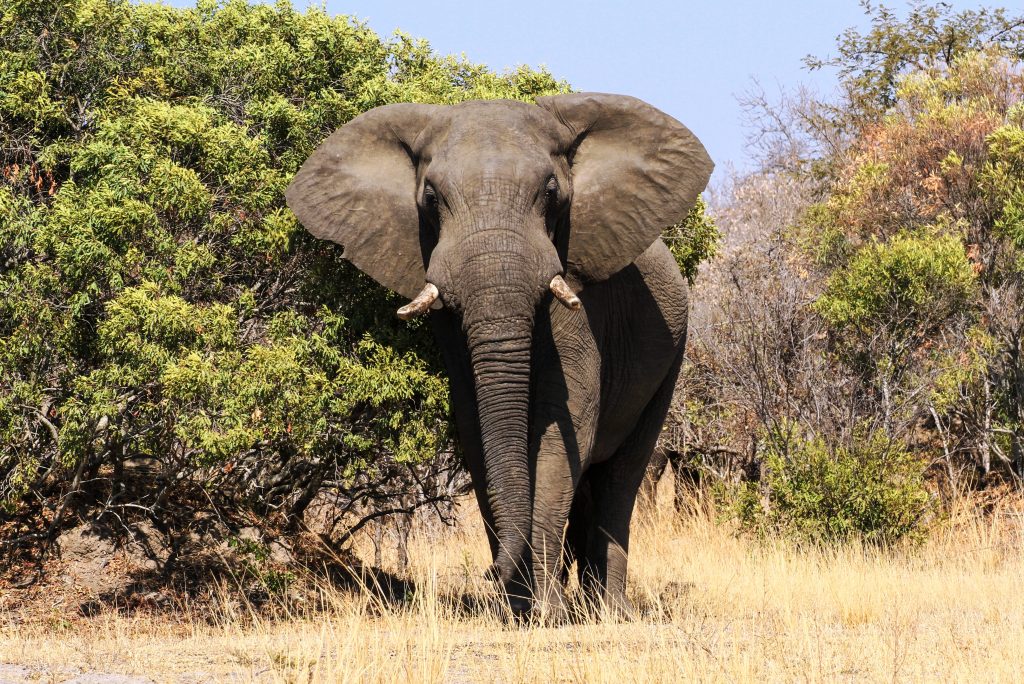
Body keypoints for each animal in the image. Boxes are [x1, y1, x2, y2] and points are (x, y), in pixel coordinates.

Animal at [282, 90, 712, 618]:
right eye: (430, 199)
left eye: (551, 192)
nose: (490, 573)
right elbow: (475, 426)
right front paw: (517, 611)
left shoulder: (579, 297)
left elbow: (563, 426)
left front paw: (545, 614)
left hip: (673, 350)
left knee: (622, 477)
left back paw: (607, 612)